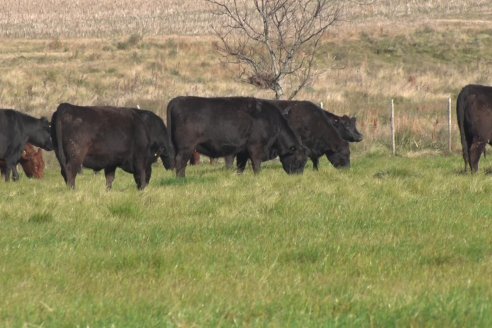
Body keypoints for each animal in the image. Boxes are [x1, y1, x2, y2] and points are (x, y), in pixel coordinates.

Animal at [167, 96, 310, 177]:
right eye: (299, 160)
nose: (298, 176)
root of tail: (176, 100)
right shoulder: (255, 147)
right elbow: (256, 165)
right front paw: (258, 177)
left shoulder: (243, 151)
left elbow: (240, 166)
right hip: (186, 147)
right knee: (180, 162)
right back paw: (181, 179)